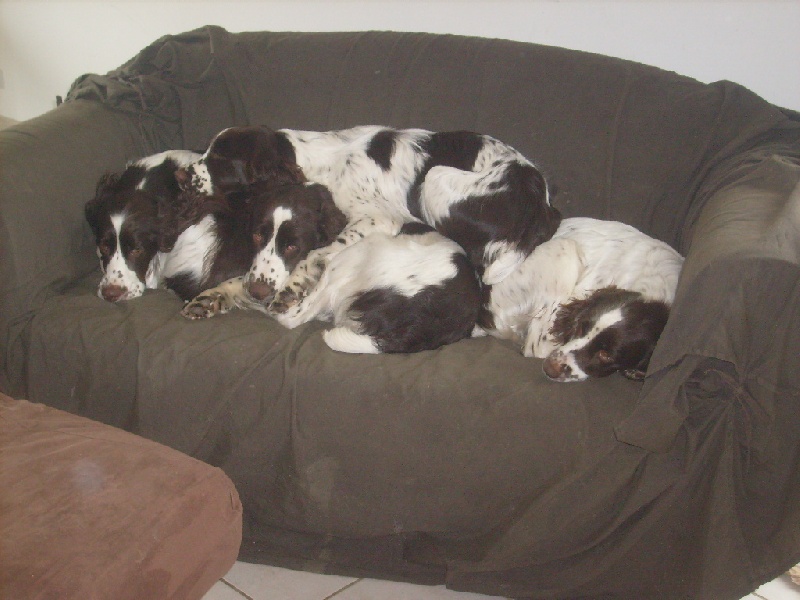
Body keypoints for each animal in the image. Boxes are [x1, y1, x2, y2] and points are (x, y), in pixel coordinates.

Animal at [177, 125, 560, 315]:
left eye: (219, 162)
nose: (179, 176)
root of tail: (539, 198)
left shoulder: (377, 218)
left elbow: (317, 252)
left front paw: (294, 285)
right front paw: (215, 296)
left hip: (434, 178)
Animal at [183, 182, 482, 354]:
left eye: (292, 246)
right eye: (257, 235)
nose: (257, 293)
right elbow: (244, 280)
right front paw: (209, 299)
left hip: (355, 258)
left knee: (293, 317)